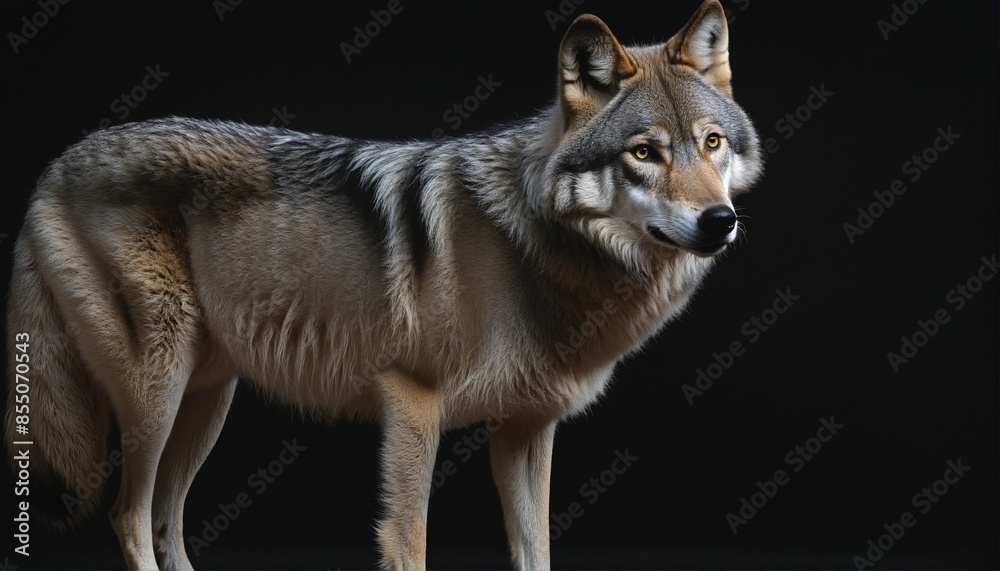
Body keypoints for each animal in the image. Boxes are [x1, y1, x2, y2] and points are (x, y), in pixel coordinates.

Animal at [5, 1, 762, 569]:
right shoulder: (412, 402)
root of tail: (54, 167)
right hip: (155, 397)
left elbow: (536, 550)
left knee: (165, 519)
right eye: (645, 152)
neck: (529, 243)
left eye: (712, 142)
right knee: (127, 514)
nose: (719, 220)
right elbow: (408, 540)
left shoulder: (525, 428)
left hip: (208, 402)